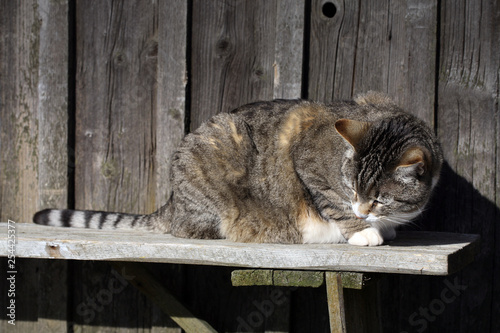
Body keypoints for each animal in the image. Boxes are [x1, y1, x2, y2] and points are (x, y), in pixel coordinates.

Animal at [33, 92, 444, 245]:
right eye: (352, 188)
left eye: (379, 198)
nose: (362, 210)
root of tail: (172, 202)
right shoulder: (307, 162)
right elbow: (331, 203)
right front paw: (362, 232)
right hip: (213, 150)